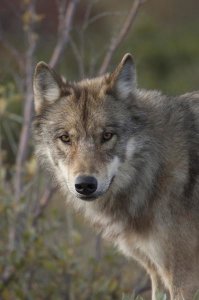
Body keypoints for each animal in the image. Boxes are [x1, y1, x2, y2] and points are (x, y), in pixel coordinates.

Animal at [32, 54, 199, 300]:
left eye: (107, 135)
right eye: (65, 138)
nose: (85, 185)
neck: (153, 172)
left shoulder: (184, 277)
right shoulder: (156, 271)